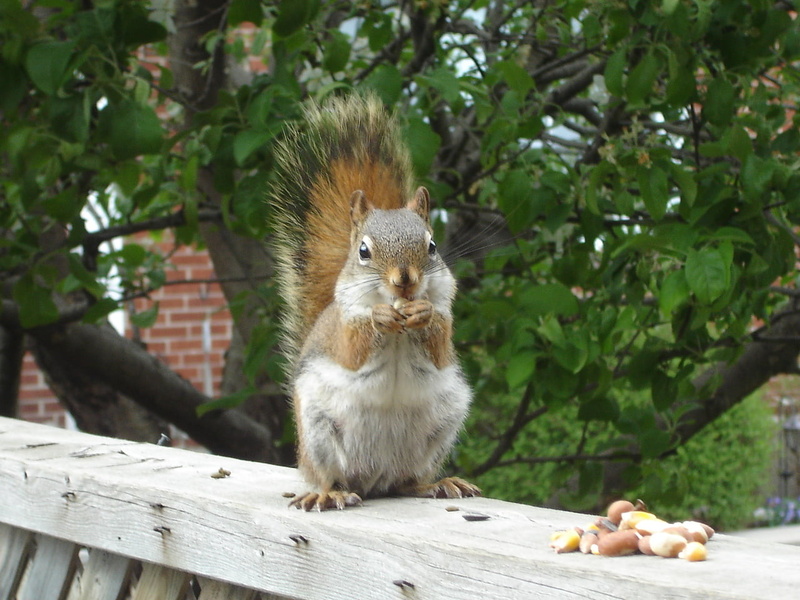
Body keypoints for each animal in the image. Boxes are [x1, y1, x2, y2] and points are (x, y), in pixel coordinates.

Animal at [270, 94, 481, 511]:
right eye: (364, 251)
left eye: (432, 246)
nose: (405, 281)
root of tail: (373, 479)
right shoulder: (343, 327)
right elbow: (353, 350)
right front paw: (379, 317)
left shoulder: (446, 318)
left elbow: (439, 346)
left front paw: (423, 313)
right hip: (318, 432)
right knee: (331, 475)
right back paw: (327, 492)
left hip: (441, 426)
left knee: (406, 481)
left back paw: (435, 484)